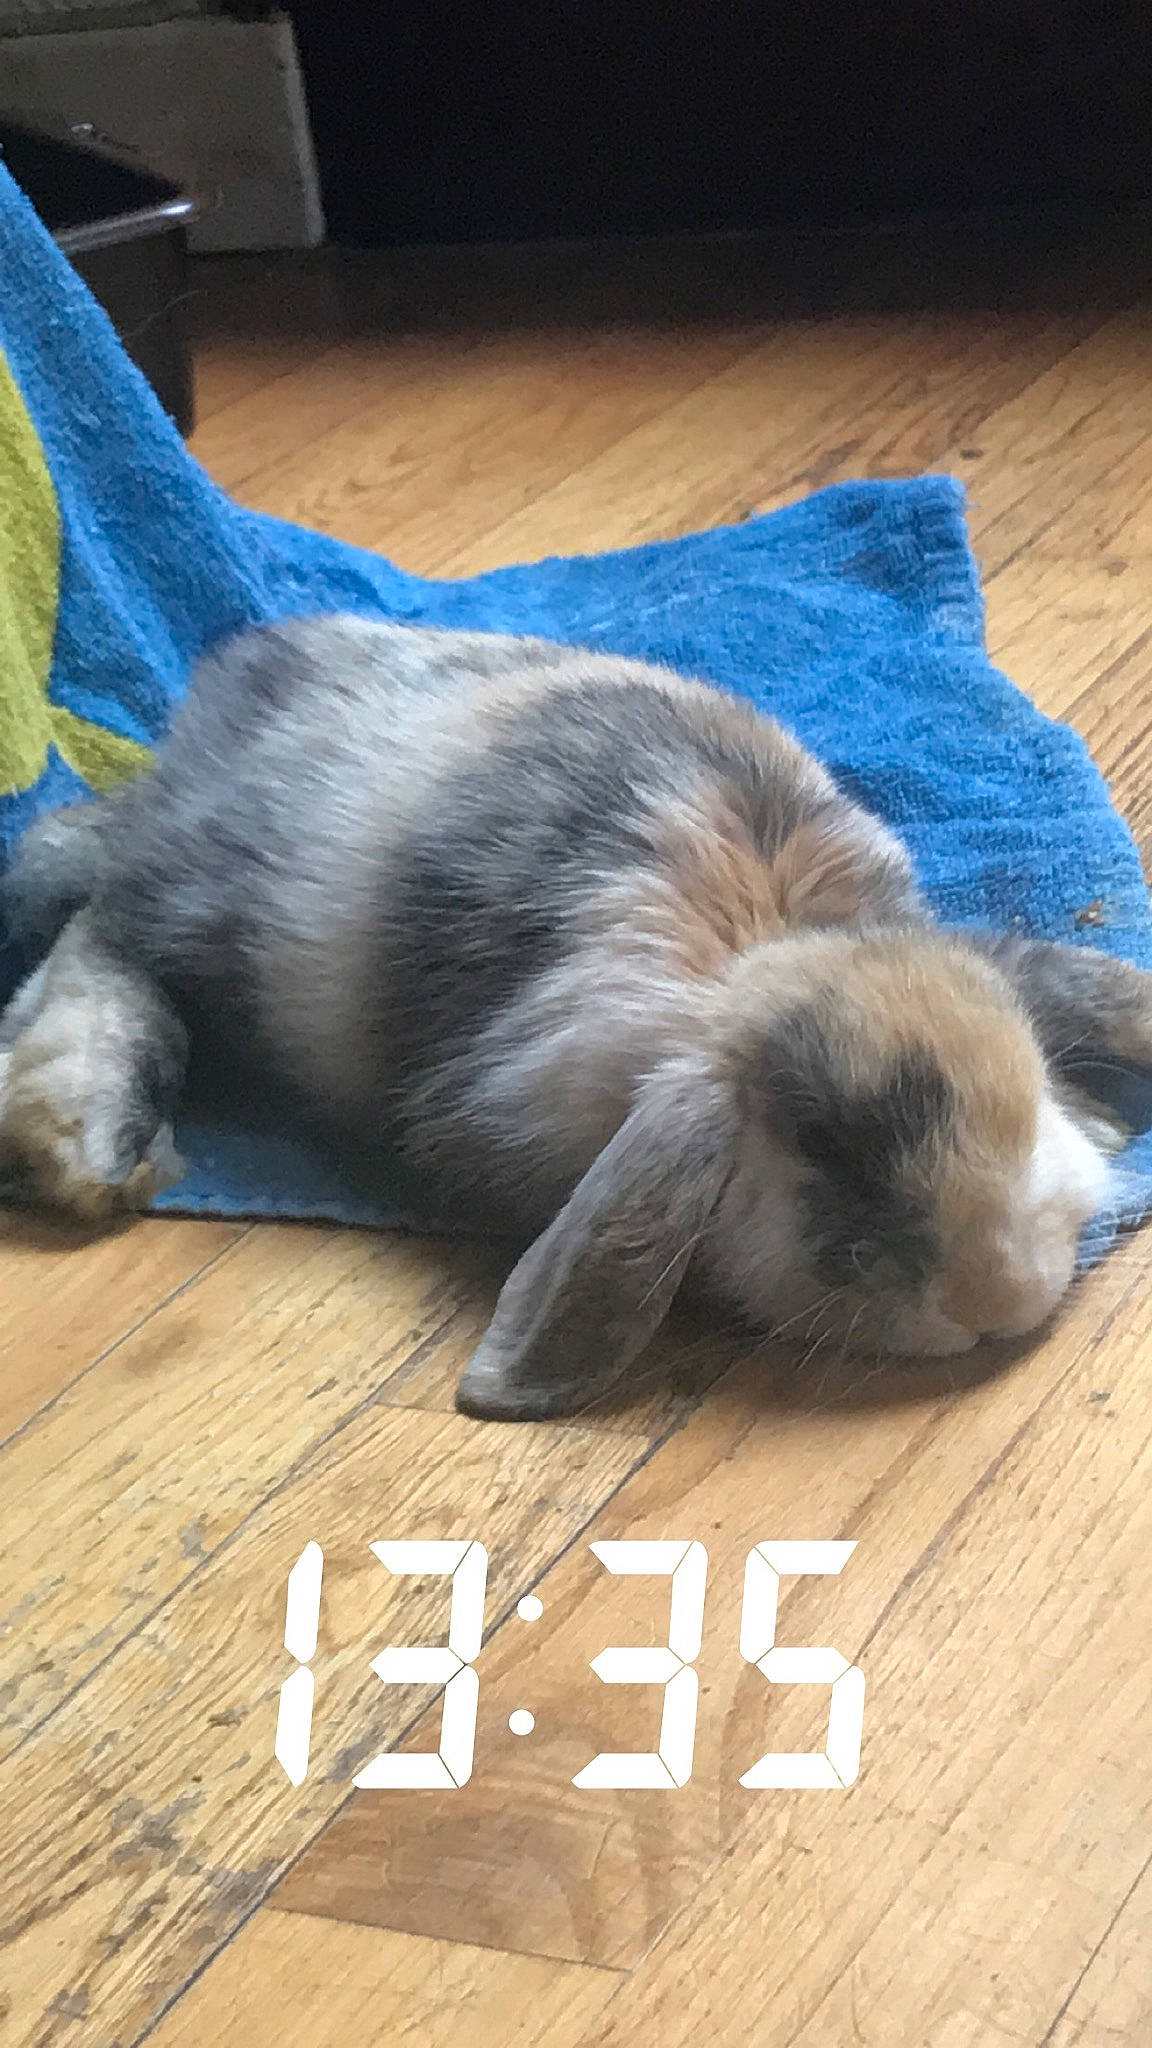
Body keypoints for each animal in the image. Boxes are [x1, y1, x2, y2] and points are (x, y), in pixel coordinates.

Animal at [3, 612, 1152, 1422]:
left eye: (1026, 1092)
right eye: (820, 1140)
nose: (1000, 1300)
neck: (751, 954)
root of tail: (229, 687)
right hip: (206, 906)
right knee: (103, 915)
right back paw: (85, 1129)